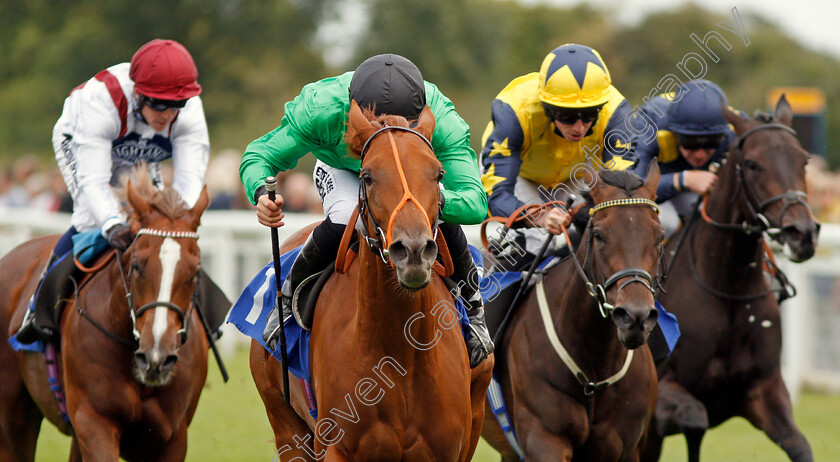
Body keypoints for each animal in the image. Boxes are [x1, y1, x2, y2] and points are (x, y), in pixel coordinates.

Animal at [0, 170, 210, 462]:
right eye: (136, 265)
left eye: (195, 271)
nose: (156, 356)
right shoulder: (93, 421)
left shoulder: (172, 437)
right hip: (14, 416)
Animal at [249, 102, 492, 462]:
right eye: (367, 175)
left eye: (438, 174)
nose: (413, 250)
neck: (401, 354)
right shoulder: (336, 447)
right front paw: (267, 206)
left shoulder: (450, 449)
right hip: (285, 426)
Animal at [482, 166, 668, 462]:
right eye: (599, 235)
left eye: (659, 236)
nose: (635, 317)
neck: (594, 367)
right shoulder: (544, 440)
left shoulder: (624, 448)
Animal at [644, 94, 820, 462]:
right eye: (752, 164)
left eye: (804, 160)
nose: (803, 233)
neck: (726, 289)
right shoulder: (664, 393)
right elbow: (695, 421)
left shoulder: (765, 391)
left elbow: (800, 446)